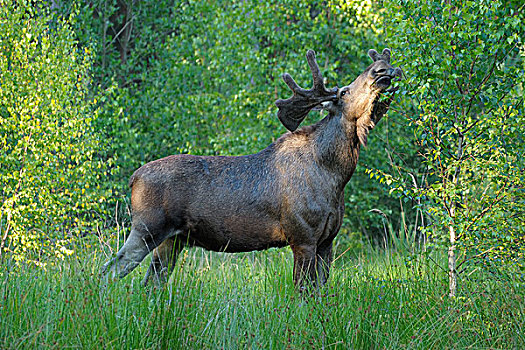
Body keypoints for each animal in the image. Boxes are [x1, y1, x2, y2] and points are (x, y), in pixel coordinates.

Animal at [102, 49, 402, 290]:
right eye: (343, 92)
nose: (383, 69)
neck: (335, 176)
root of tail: (133, 178)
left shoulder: (327, 240)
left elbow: (321, 291)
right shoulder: (302, 237)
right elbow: (303, 292)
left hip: (173, 240)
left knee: (151, 281)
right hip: (147, 227)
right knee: (110, 270)